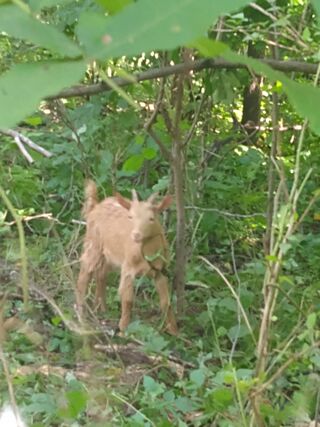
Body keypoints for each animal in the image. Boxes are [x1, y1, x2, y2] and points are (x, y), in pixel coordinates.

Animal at [76, 180, 179, 334]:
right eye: (130, 216)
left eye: (151, 218)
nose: (136, 235)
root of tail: (96, 206)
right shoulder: (128, 269)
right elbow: (127, 299)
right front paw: (123, 330)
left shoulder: (160, 272)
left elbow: (166, 302)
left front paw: (174, 331)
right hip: (93, 244)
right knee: (84, 274)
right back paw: (81, 315)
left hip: (109, 255)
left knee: (101, 274)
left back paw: (101, 309)